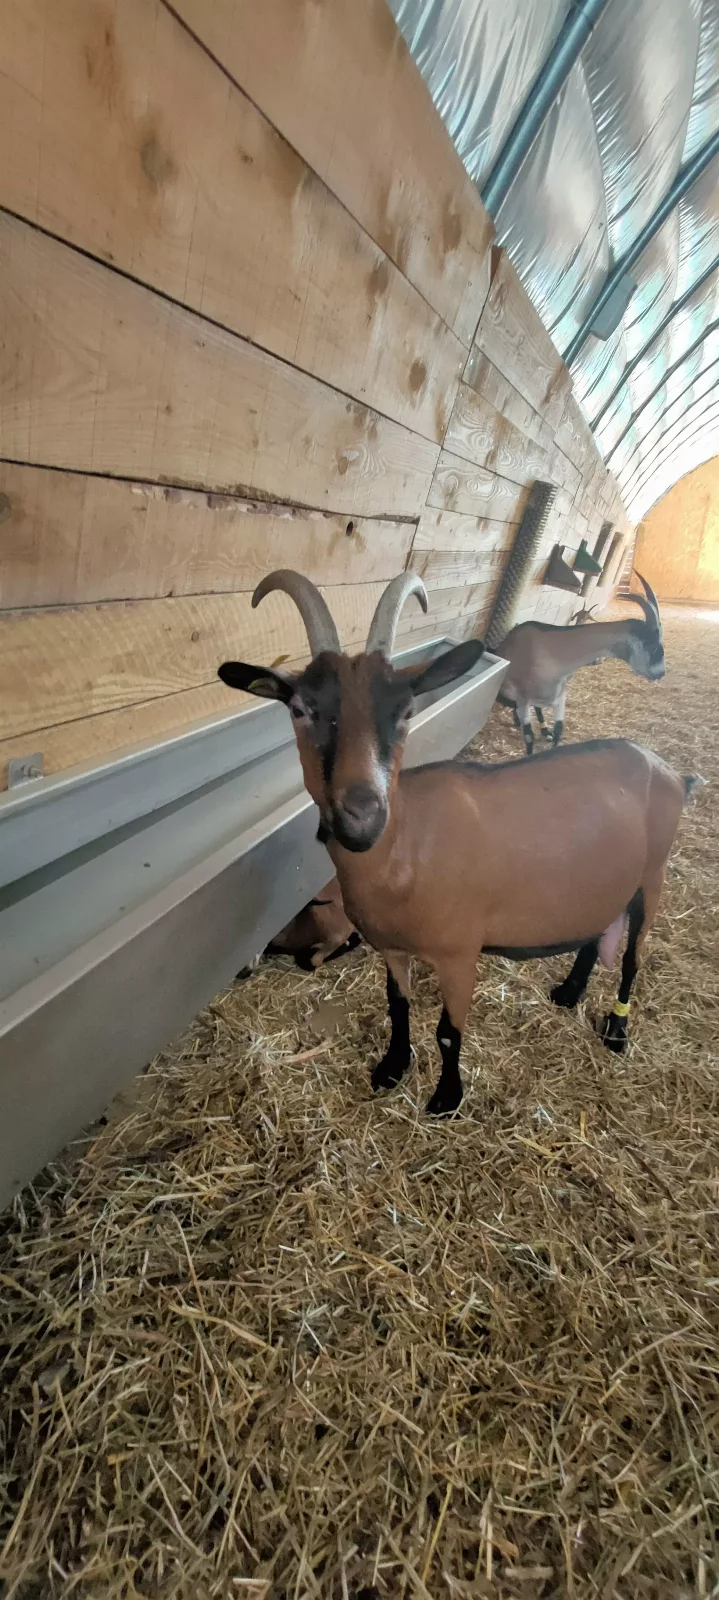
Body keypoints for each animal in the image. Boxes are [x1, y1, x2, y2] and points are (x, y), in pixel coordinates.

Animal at [496, 574, 665, 754]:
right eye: (651, 643)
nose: (660, 672)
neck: (550, 651)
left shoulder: (560, 697)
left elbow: (559, 730)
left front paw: (550, 736)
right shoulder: (523, 699)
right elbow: (529, 737)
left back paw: (543, 730)